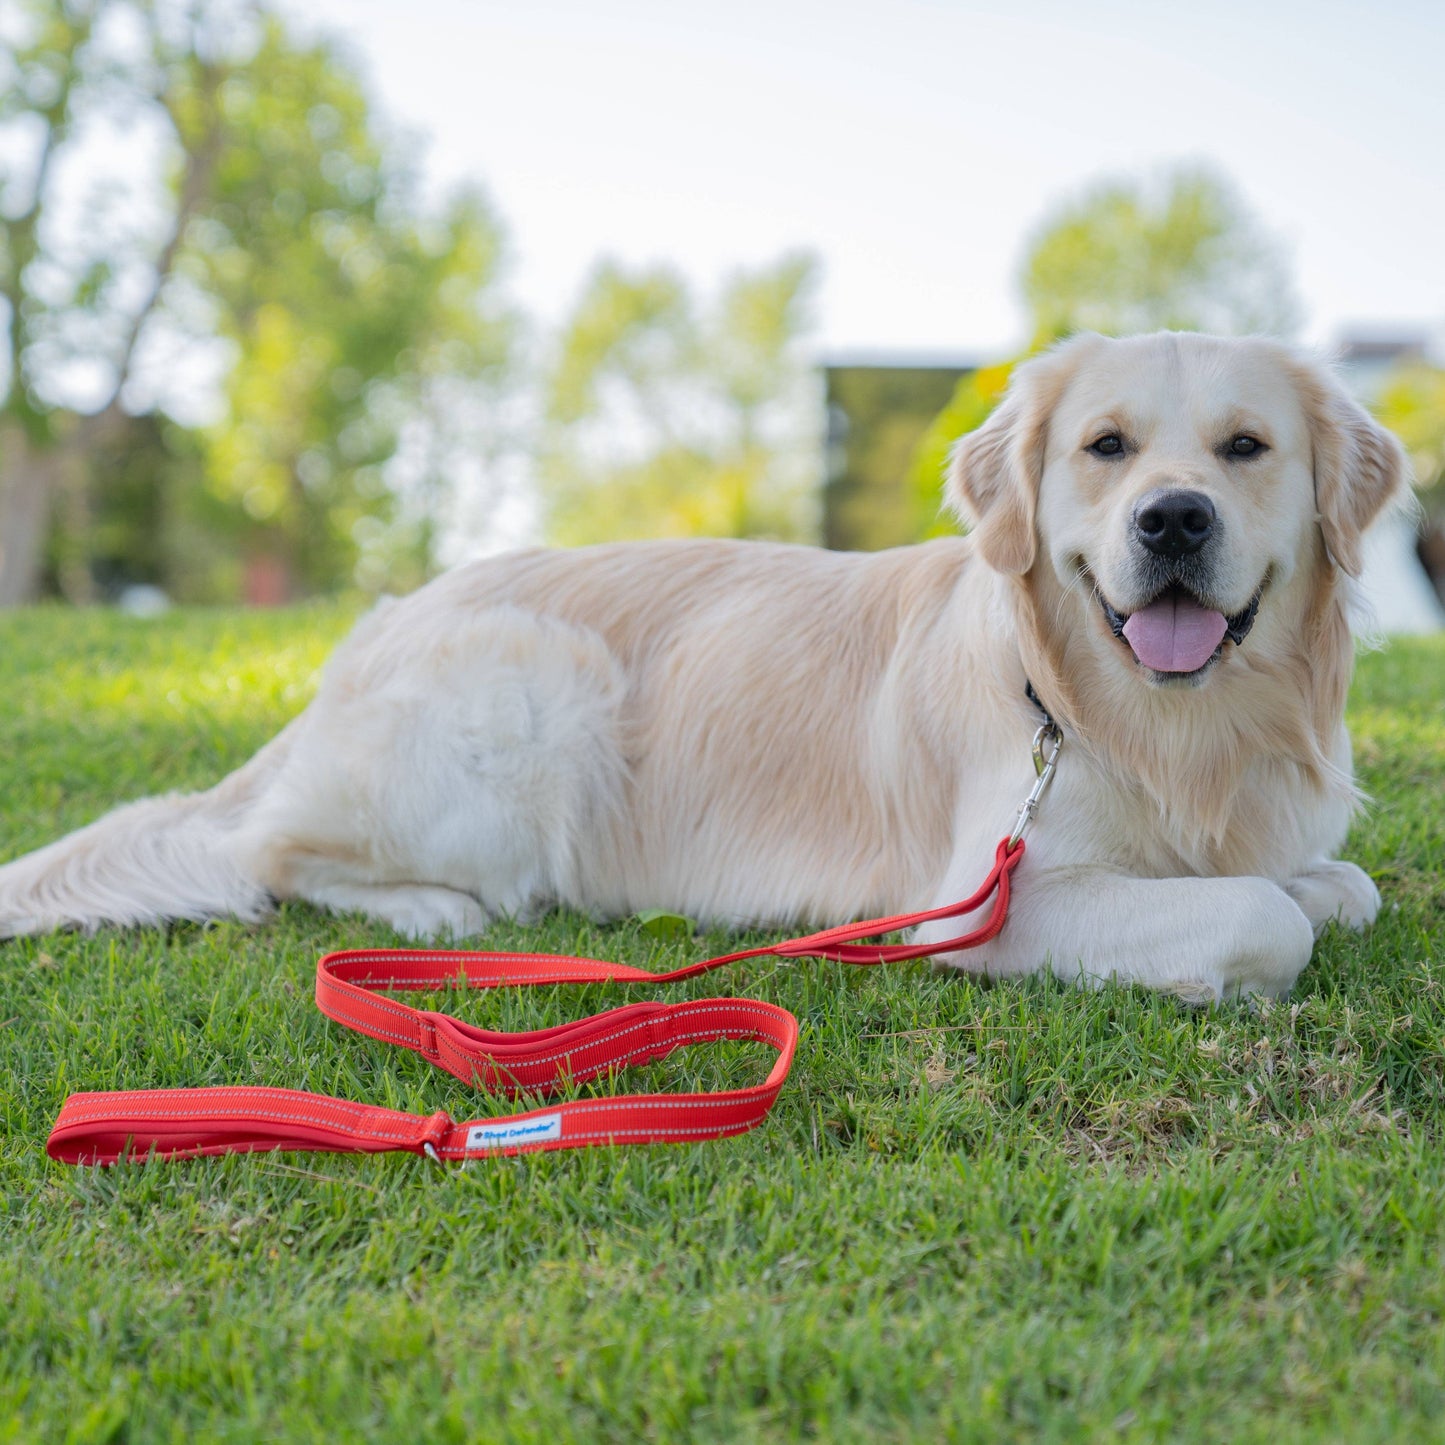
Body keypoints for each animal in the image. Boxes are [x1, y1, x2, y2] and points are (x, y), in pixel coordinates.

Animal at [0, 332, 1398, 999]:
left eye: (1243, 447)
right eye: (1106, 447)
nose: (1172, 520)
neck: (1167, 728)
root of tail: (373, 630)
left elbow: (1338, 885)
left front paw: (1310, 883)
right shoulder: (985, 901)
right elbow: (1264, 912)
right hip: (536, 691)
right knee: (274, 852)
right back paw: (435, 909)